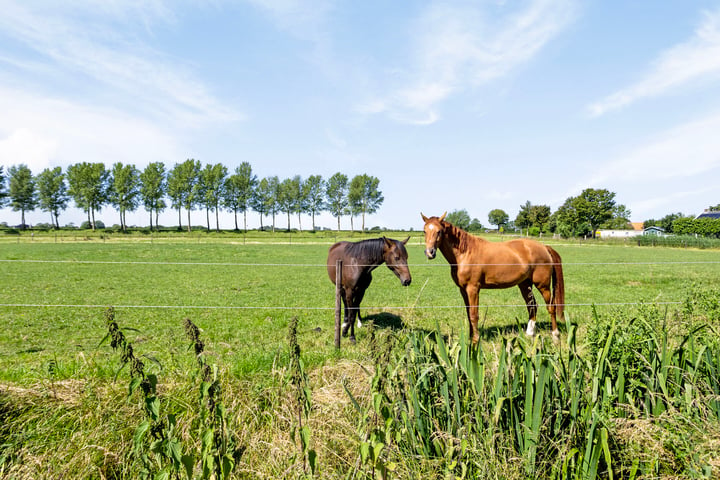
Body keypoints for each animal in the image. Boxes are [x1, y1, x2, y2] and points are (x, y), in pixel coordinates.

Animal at [420, 212, 564, 344]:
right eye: (424, 231)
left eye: (439, 231)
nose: (429, 252)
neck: (465, 253)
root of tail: (544, 247)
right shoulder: (463, 290)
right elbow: (468, 314)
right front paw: (470, 338)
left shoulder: (473, 289)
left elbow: (474, 315)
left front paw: (475, 341)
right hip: (524, 284)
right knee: (532, 305)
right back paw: (530, 334)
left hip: (543, 286)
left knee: (551, 307)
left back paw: (555, 336)